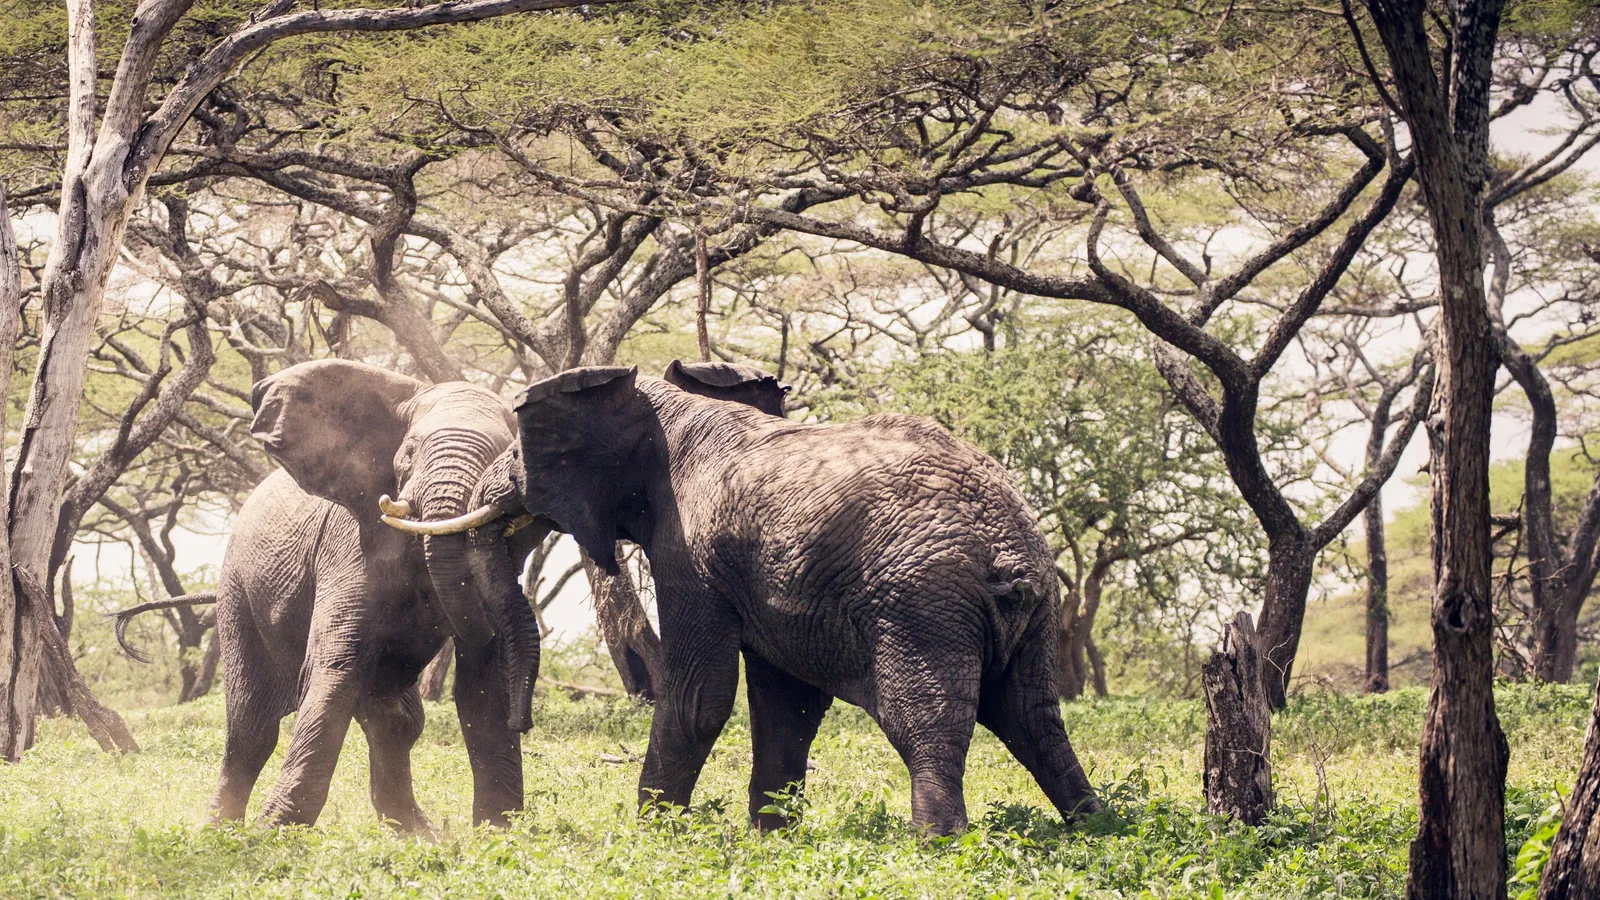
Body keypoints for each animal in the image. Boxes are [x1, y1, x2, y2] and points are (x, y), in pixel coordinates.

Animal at [195, 359, 541, 831]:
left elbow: (487, 681)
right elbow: (337, 665)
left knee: (396, 721)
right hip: (237, 589)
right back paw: (218, 833)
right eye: (409, 452)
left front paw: (498, 833)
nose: (523, 723)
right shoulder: (348, 544)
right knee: (251, 727)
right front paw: (273, 833)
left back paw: (419, 836)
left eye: (509, 458)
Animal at [382, 360, 1101, 835]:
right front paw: (770, 838)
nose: (520, 723)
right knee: (1032, 714)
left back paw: (939, 843)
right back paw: (1097, 826)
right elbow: (788, 704)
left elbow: (700, 695)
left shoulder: (687, 550)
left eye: (518, 454)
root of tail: (1008, 555)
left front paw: (651, 836)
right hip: (1031, 607)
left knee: (925, 717)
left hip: (922, 601)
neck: (662, 405)